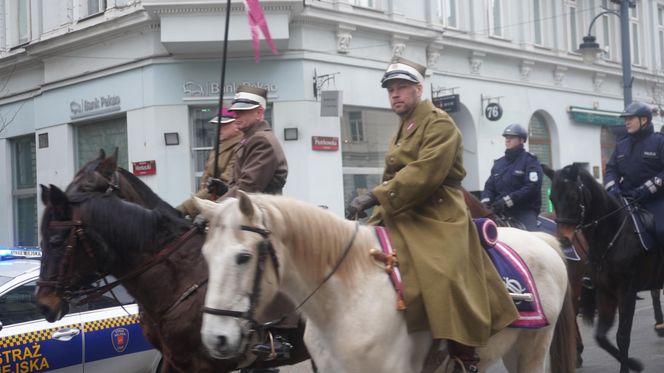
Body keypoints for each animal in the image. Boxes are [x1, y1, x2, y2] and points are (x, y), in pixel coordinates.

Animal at [193, 193, 576, 370]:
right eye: (205, 256)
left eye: (243, 257)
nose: (216, 338)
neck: (346, 298)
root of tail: (542, 239)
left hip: (532, 349)